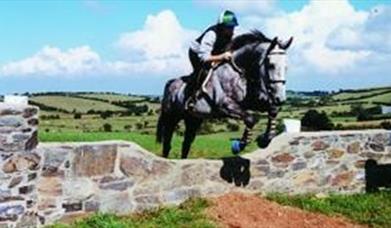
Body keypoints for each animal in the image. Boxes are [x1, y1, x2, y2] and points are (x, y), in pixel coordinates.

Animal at [158, 30, 292, 159]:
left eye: (286, 67)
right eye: (271, 65)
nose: (280, 98)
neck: (240, 72)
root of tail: (170, 83)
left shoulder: (251, 102)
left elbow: (272, 110)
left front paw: (265, 139)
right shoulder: (225, 105)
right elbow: (251, 118)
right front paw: (239, 145)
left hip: (193, 119)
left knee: (186, 144)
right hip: (171, 118)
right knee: (167, 144)